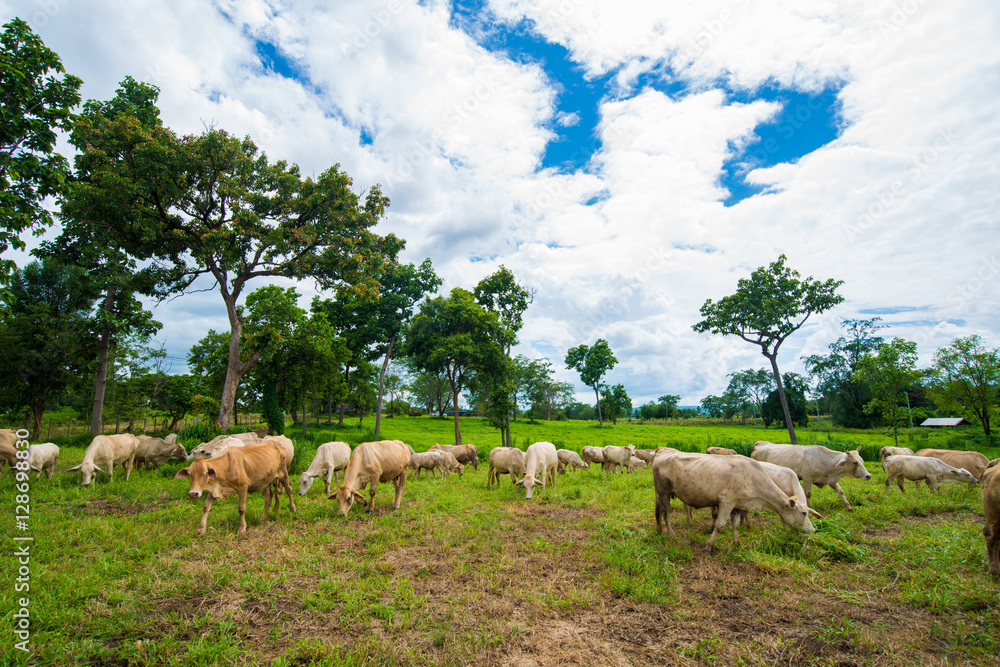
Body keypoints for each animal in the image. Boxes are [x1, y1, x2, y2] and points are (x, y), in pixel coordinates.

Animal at [654, 452, 816, 553]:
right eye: (804, 513)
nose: (813, 529)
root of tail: (660, 454)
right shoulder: (727, 501)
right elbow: (720, 525)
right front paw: (708, 546)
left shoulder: (738, 506)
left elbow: (736, 526)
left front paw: (737, 545)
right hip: (664, 493)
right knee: (666, 514)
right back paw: (672, 535)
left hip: (662, 495)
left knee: (660, 513)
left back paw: (660, 531)